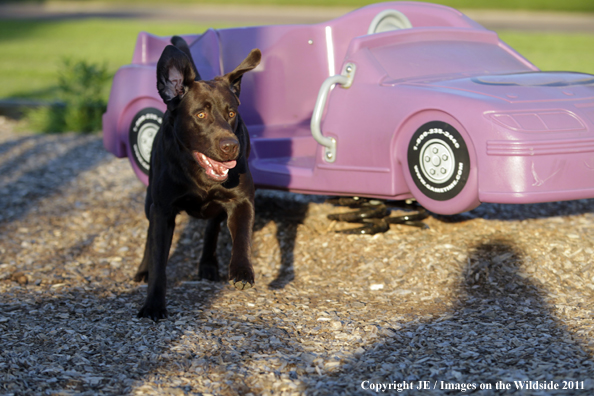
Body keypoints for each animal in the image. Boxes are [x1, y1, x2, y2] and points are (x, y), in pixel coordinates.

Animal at [135, 36, 260, 322]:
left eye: (232, 114)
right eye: (201, 115)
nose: (231, 146)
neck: (200, 174)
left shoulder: (242, 200)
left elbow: (242, 236)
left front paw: (241, 271)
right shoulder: (163, 209)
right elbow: (159, 260)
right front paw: (154, 304)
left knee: (212, 227)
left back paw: (208, 264)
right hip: (150, 202)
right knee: (149, 235)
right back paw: (143, 269)